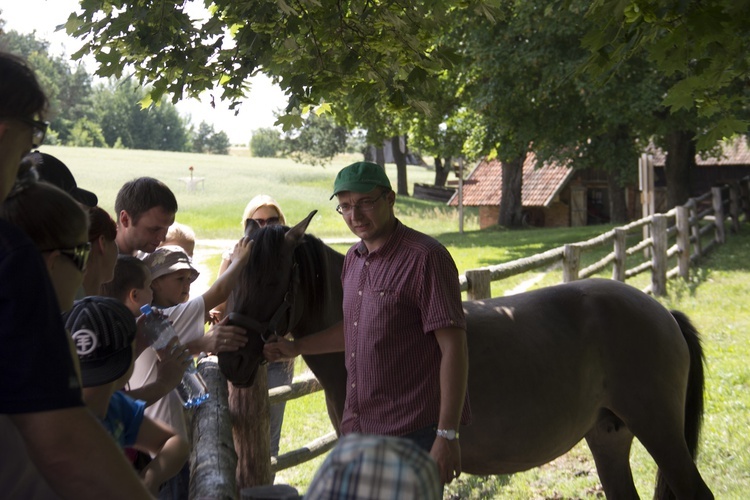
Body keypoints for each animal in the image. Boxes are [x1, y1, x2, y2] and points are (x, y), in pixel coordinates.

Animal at [219, 213, 716, 498]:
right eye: (231, 277)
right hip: (610, 435)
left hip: (659, 430)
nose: (230, 361)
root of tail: (662, 312)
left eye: (271, 280)